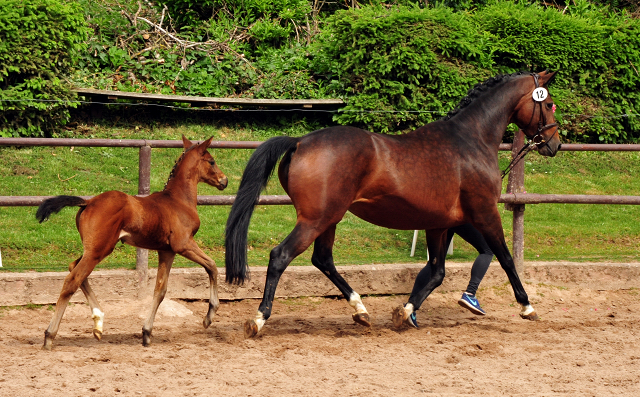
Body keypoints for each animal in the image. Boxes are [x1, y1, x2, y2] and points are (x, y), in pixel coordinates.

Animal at [37, 135, 228, 346]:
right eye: (212, 161)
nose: (224, 180)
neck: (178, 201)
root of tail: (88, 202)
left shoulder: (167, 251)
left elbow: (160, 290)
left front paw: (147, 332)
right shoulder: (183, 244)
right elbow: (212, 266)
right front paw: (209, 316)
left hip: (96, 249)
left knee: (73, 268)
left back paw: (98, 324)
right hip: (98, 250)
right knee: (73, 280)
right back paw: (49, 335)